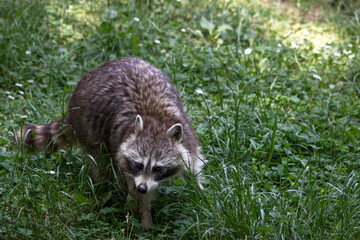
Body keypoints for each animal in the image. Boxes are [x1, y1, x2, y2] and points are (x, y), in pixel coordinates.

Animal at [15, 57, 204, 232]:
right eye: (138, 165)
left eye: (158, 168)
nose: (142, 188)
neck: (155, 121)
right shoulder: (123, 154)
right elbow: (134, 188)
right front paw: (145, 217)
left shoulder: (187, 137)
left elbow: (193, 167)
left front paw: (199, 194)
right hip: (89, 128)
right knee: (99, 163)